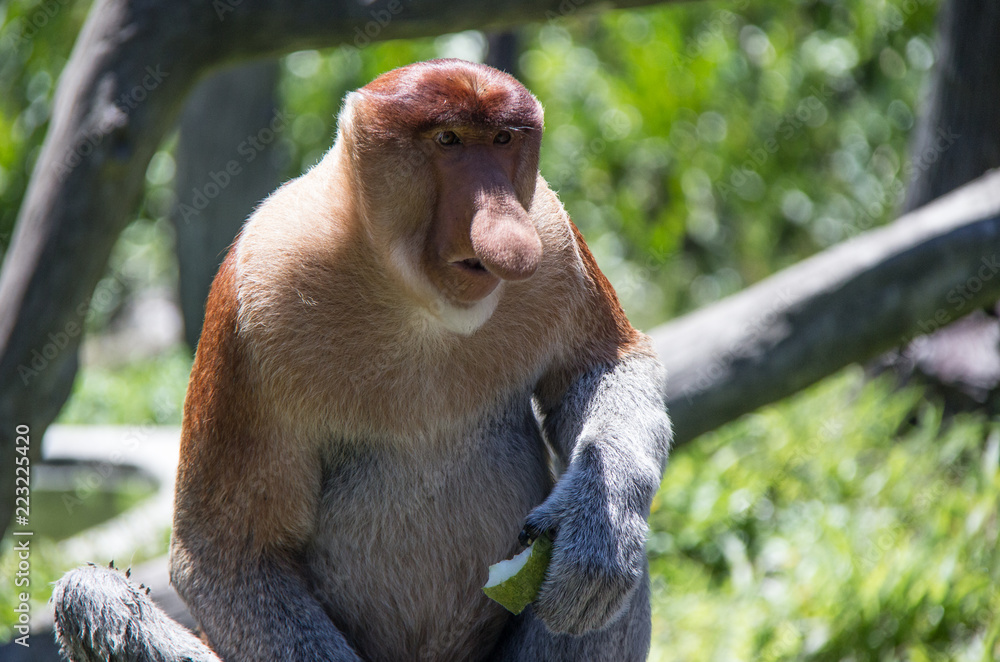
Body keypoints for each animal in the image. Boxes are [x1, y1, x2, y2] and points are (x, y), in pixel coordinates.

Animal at [53, 58, 672, 662]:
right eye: (448, 140)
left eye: (501, 140)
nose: (507, 237)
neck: (412, 296)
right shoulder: (255, 292)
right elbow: (228, 552)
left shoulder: (550, 232)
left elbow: (605, 365)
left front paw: (597, 538)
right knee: (88, 594)